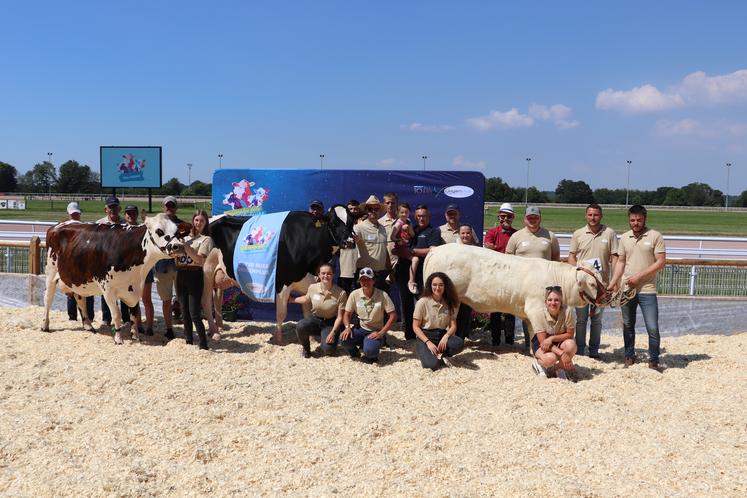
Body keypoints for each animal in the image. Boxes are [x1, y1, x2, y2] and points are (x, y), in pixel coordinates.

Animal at [42, 214, 188, 342]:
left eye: (177, 232)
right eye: (159, 231)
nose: (178, 246)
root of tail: (59, 224)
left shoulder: (136, 288)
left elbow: (134, 313)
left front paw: (135, 336)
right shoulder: (108, 289)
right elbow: (117, 314)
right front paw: (118, 338)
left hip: (78, 278)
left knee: (80, 300)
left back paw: (88, 326)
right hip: (51, 273)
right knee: (48, 299)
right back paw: (45, 326)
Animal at [420, 243, 620, 336]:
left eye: (601, 277)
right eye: (592, 284)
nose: (607, 297)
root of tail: (436, 249)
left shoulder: (527, 313)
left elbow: (533, 333)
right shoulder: (535, 308)